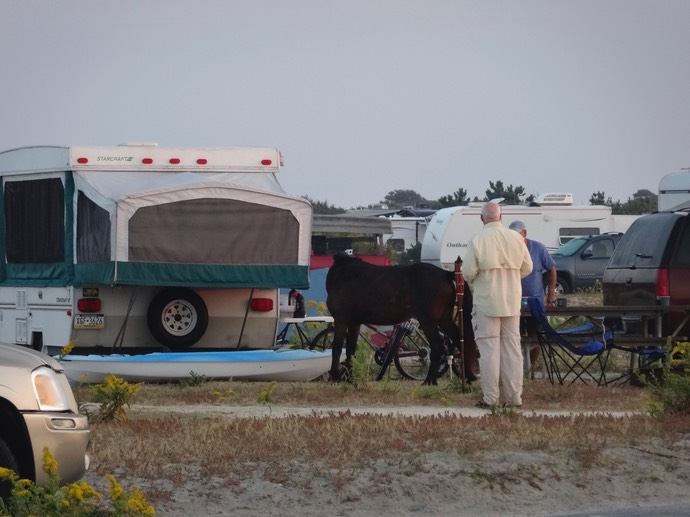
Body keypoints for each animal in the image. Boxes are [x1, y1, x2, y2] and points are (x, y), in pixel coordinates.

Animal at [322, 253, 472, 382]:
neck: (345, 274)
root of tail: (445, 273)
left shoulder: (341, 320)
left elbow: (337, 348)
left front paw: (335, 377)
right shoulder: (354, 323)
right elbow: (350, 350)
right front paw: (350, 378)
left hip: (428, 320)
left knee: (437, 347)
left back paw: (429, 381)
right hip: (444, 319)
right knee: (459, 340)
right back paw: (468, 378)